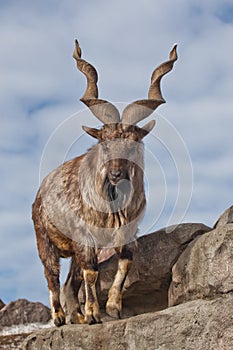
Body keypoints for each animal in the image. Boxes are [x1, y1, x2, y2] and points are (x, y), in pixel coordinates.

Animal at [31, 39, 177, 326]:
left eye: (133, 144)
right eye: (105, 143)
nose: (116, 174)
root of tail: (39, 195)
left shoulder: (126, 233)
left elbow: (124, 263)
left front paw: (113, 308)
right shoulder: (84, 236)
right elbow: (91, 273)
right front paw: (93, 314)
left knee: (69, 282)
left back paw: (75, 316)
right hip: (44, 239)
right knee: (52, 275)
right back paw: (60, 317)